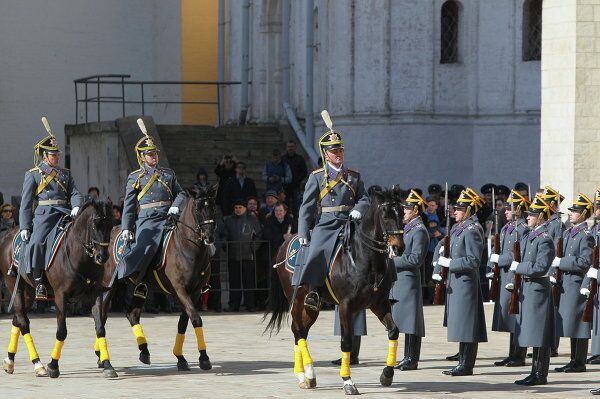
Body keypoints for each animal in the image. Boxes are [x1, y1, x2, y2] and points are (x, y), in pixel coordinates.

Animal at [0, 202, 113, 380]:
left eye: (111, 225)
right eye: (95, 225)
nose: (102, 257)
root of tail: (8, 235)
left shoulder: (96, 293)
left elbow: (100, 328)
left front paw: (107, 364)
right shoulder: (60, 296)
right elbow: (61, 331)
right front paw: (53, 365)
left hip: (28, 292)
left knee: (17, 319)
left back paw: (10, 361)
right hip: (13, 285)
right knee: (23, 322)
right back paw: (37, 364)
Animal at [95, 184, 219, 372]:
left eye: (213, 207)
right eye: (198, 208)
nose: (209, 236)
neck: (187, 247)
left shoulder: (195, 292)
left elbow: (184, 322)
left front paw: (180, 358)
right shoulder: (180, 290)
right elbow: (196, 319)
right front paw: (204, 358)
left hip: (138, 286)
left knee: (132, 314)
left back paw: (143, 351)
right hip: (109, 286)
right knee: (100, 314)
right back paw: (103, 358)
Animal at [266, 189, 404, 396]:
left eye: (402, 213)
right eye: (386, 215)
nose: (399, 247)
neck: (365, 260)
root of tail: (287, 242)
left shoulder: (380, 304)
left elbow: (393, 332)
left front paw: (387, 374)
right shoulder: (346, 306)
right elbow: (346, 342)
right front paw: (347, 381)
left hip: (312, 308)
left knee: (301, 332)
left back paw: (308, 376)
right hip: (296, 300)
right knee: (297, 331)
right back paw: (305, 375)